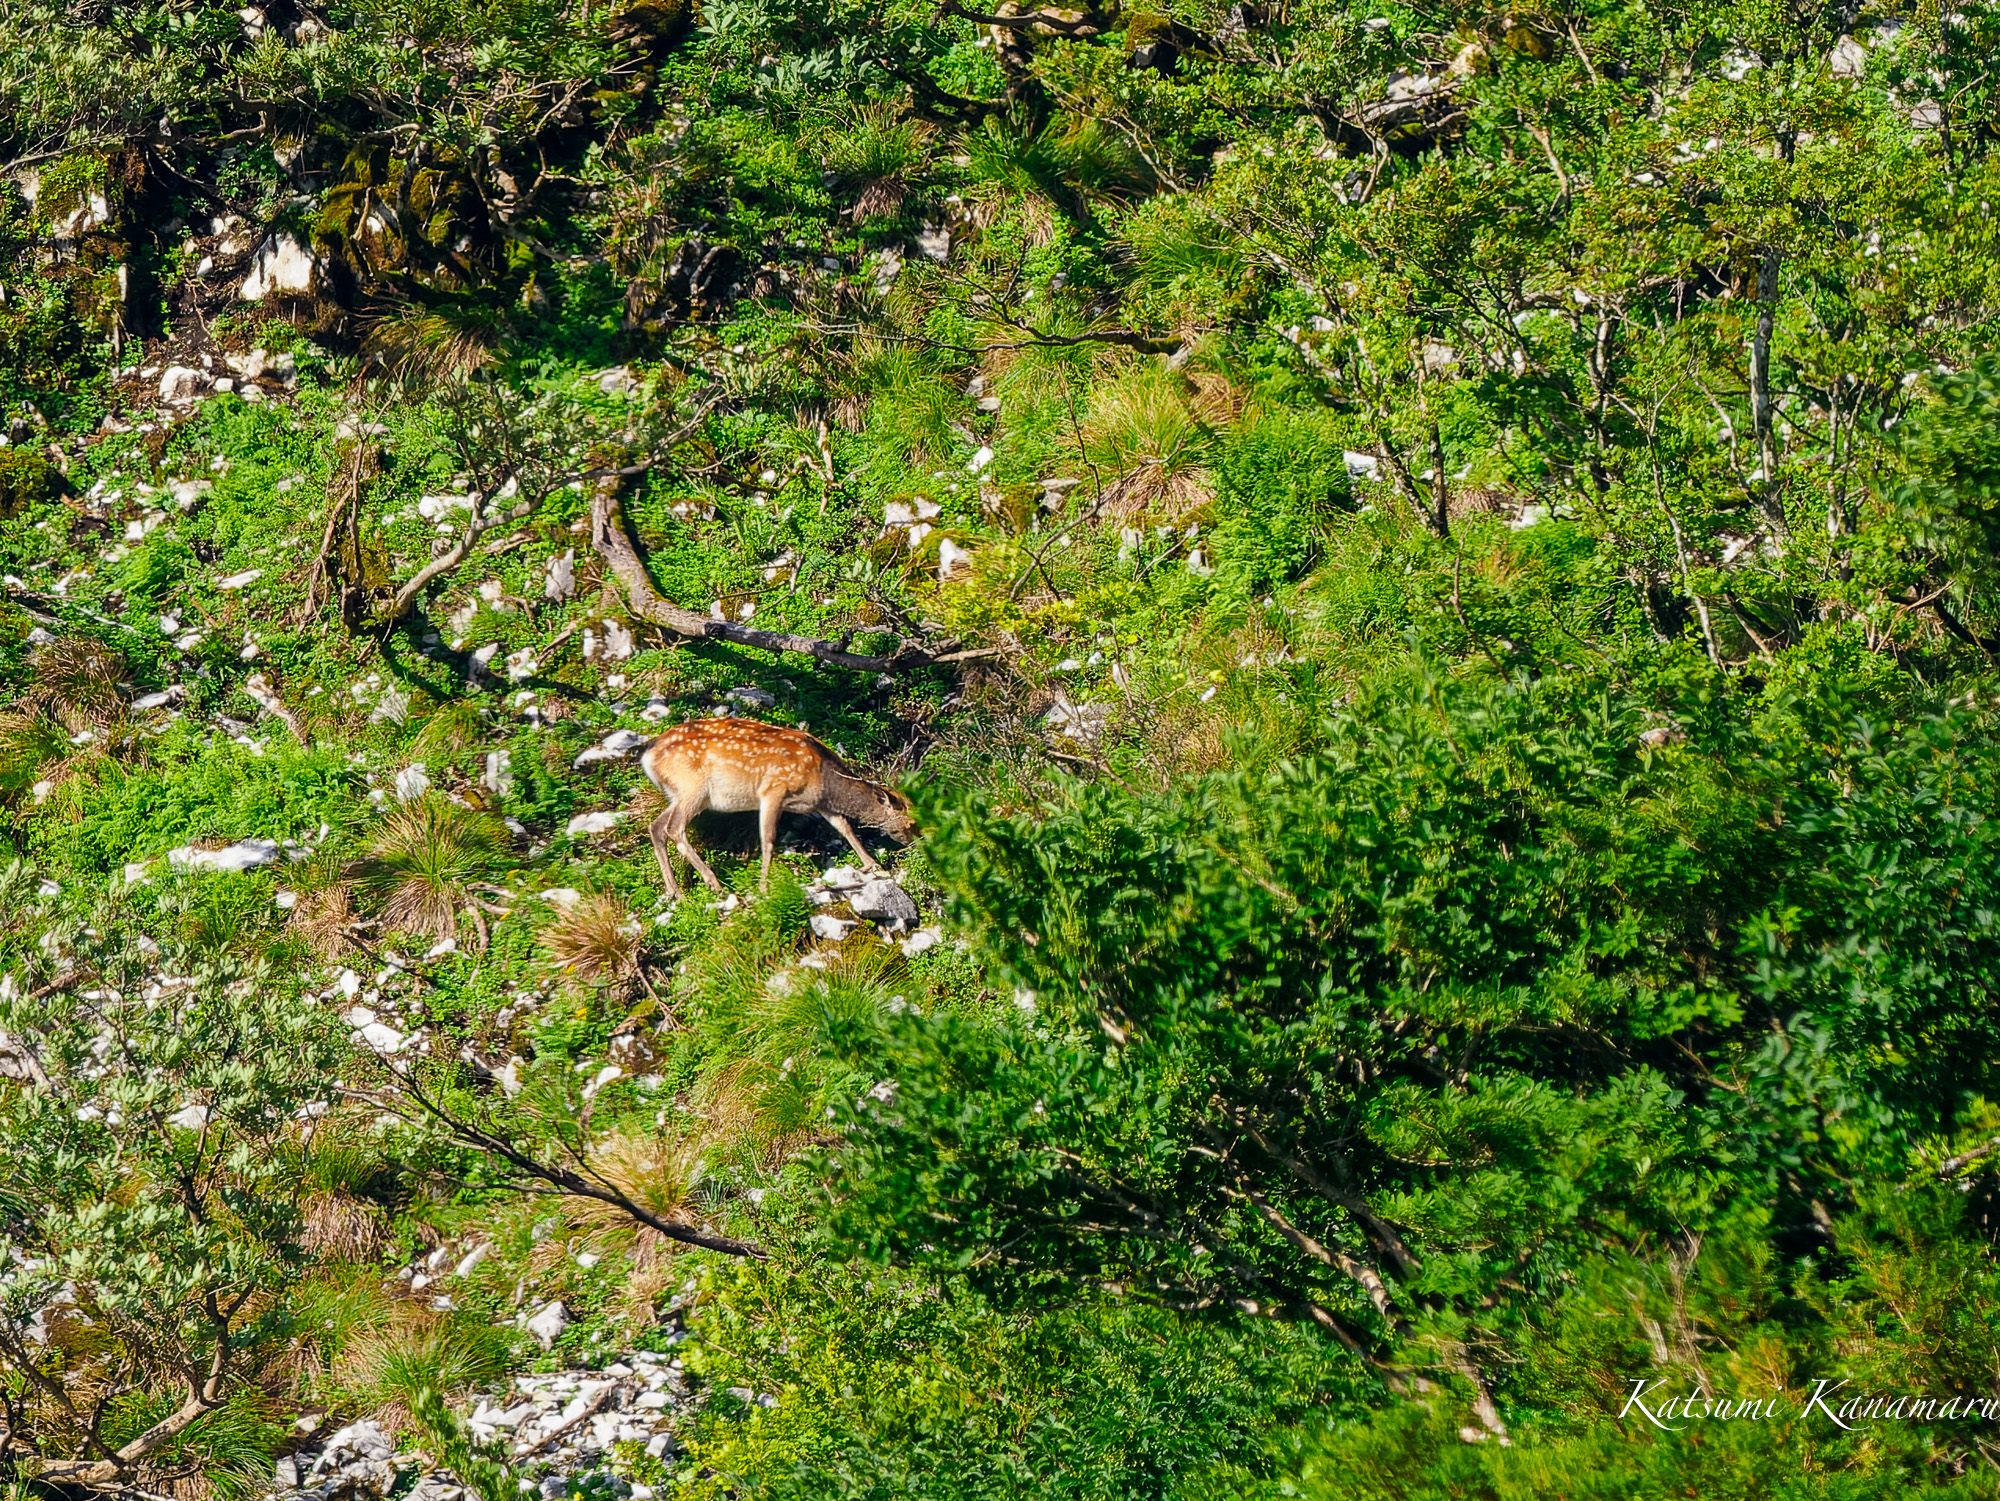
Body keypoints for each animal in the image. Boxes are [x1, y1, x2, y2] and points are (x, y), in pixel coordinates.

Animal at [637, 717, 917, 900]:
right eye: (911, 823)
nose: (914, 843)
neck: (824, 780)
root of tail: (647, 756)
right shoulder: (774, 788)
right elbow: (769, 838)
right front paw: (763, 887)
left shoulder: (819, 803)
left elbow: (844, 826)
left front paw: (873, 865)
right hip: (693, 787)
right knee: (674, 828)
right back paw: (713, 882)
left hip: (679, 794)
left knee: (656, 827)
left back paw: (675, 892)